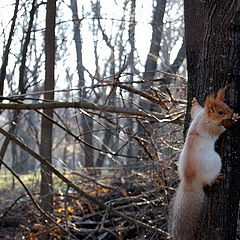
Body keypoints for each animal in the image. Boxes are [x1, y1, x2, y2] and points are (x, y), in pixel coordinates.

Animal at [168, 86, 239, 240]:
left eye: (227, 106)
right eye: (220, 112)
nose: (231, 113)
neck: (205, 117)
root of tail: (190, 180)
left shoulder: (198, 114)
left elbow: (195, 110)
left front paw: (194, 101)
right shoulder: (209, 126)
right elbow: (219, 130)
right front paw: (235, 119)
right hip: (216, 163)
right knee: (209, 180)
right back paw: (216, 178)